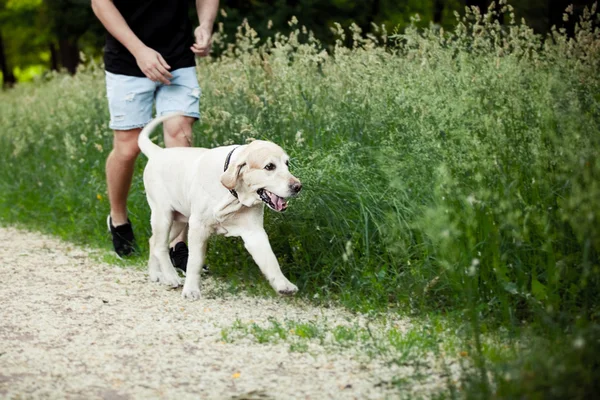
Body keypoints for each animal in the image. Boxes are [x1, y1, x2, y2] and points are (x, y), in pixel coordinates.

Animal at [138, 113, 302, 300]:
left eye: (287, 164)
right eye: (269, 167)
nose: (298, 186)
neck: (234, 195)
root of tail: (158, 152)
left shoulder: (255, 232)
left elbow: (270, 260)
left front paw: (284, 285)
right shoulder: (198, 227)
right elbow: (194, 262)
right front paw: (191, 290)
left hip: (178, 220)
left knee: (153, 241)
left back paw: (156, 274)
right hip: (163, 216)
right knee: (160, 246)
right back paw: (171, 276)